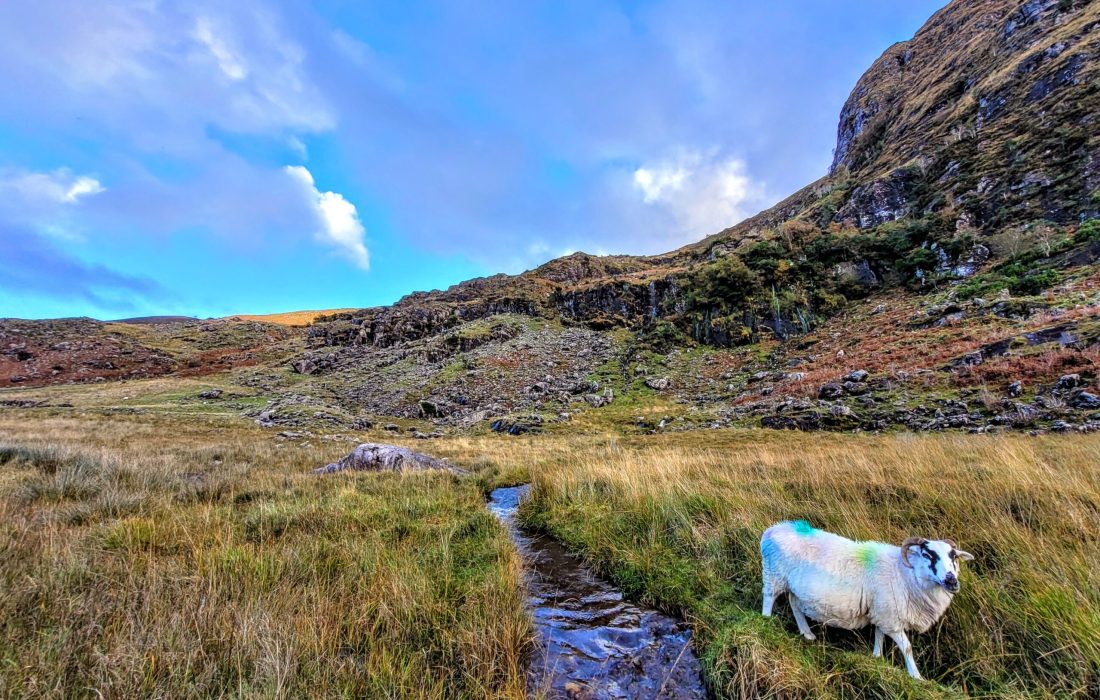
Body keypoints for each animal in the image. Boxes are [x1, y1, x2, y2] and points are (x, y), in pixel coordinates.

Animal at [761, 519, 976, 677]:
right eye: (926, 554)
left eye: (954, 556)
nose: (951, 580)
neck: (905, 574)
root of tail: (772, 530)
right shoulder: (891, 617)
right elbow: (907, 647)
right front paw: (916, 676)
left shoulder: (882, 613)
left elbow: (879, 636)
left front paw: (877, 658)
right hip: (774, 575)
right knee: (769, 598)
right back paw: (765, 622)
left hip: (794, 587)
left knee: (794, 604)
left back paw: (807, 634)